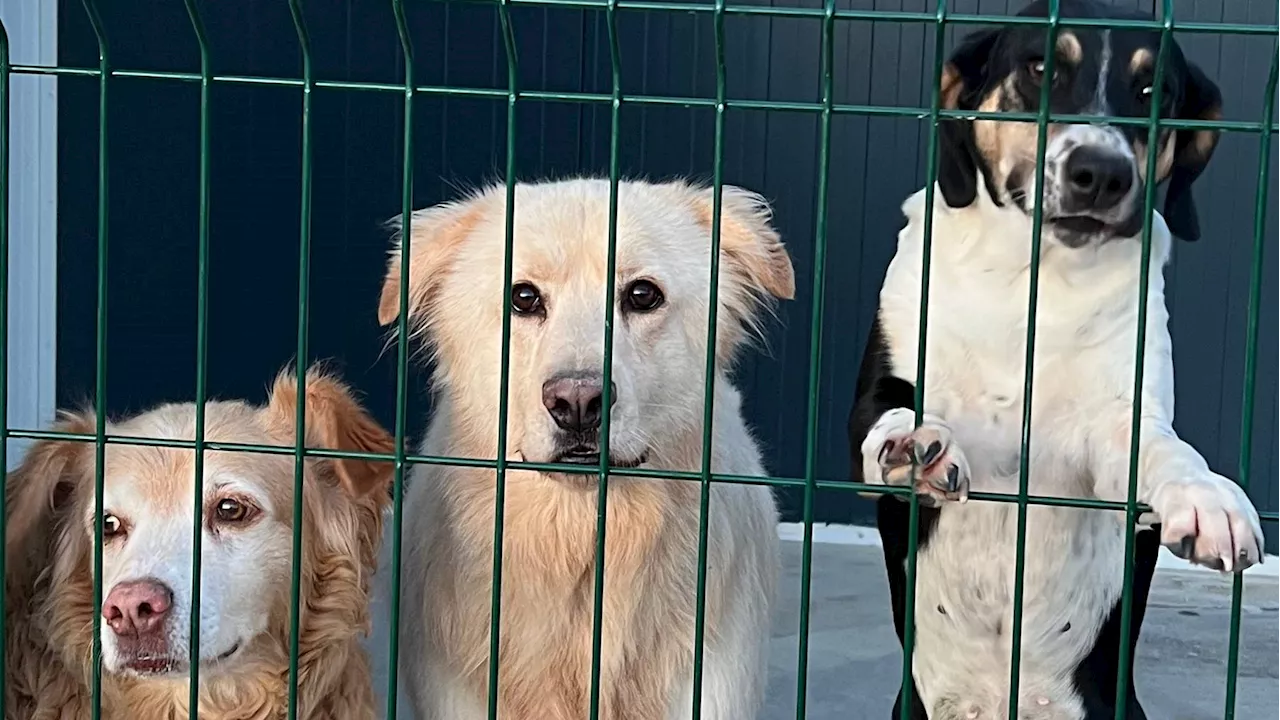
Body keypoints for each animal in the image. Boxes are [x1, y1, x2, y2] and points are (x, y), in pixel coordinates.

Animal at [855, 1, 1264, 717]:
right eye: (1041, 67)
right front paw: (913, 445)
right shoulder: (878, 387)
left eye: (1154, 90)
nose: (1101, 173)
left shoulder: (1117, 427)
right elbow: (893, 413)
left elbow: (1162, 449)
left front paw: (1204, 496)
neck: (1032, 283)